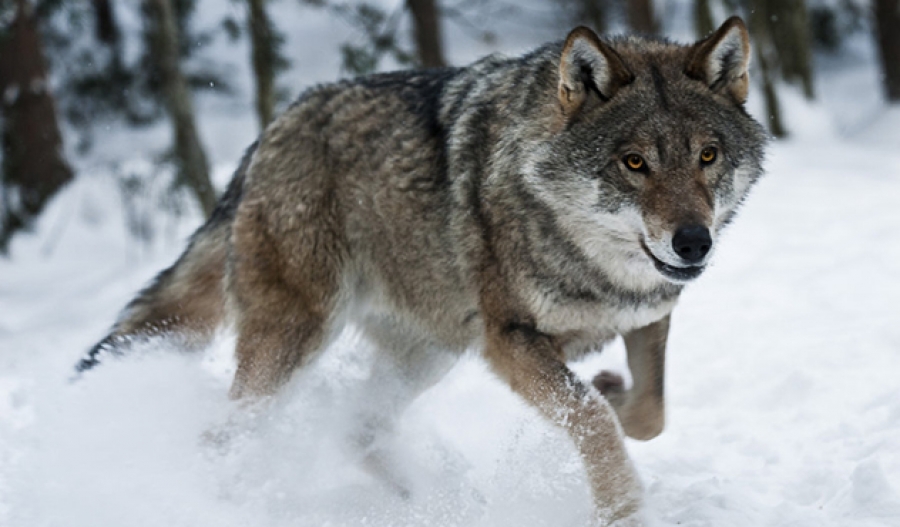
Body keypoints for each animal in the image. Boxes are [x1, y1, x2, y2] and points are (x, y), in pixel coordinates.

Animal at [75, 15, 768, 524]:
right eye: (634, 163)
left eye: (708, 156)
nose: (693, 243)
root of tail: (270, 131)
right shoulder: (508, 340)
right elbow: (593, 421)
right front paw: (622, 507)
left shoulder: (648, 316)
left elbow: (647, 414)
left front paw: (612, 390)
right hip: (299, 340)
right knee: (226, 436)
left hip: (428, 352)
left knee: (358, 428)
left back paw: (436, 503)